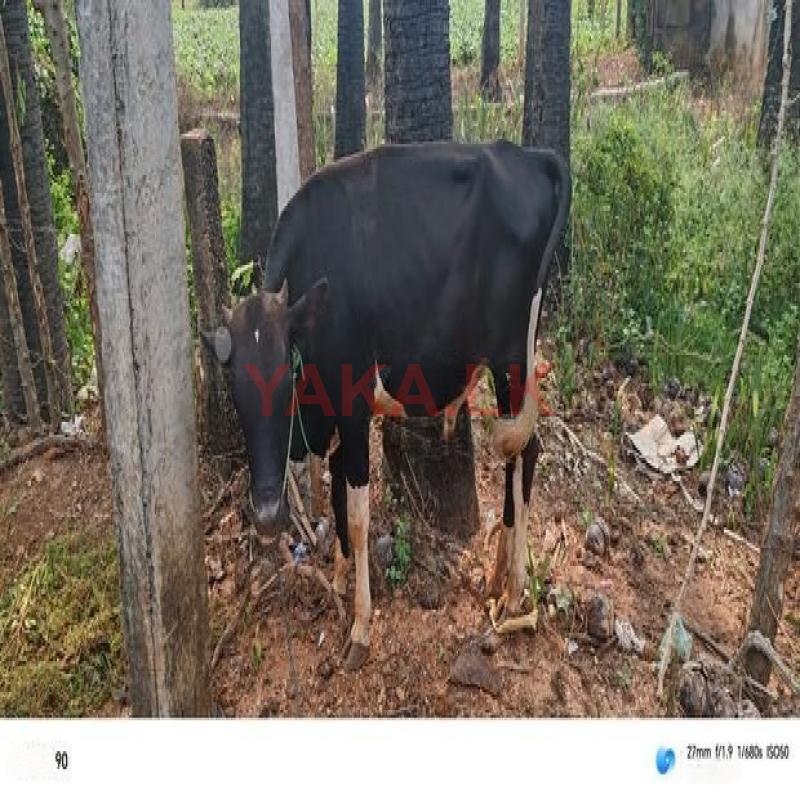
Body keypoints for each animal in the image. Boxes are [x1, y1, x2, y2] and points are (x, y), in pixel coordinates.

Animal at [202, 140, 571, 671]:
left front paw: (359, 626)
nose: (269, 515)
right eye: (235, 392)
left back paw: (516, 592)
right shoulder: (332, 417)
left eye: (285, 380)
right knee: (517, 454)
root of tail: (530, 155)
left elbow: (357, 515)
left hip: (511, 360)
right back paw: (498, 575)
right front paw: (337, 577)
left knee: (525, 451)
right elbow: (336, 487)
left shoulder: (354, 406)